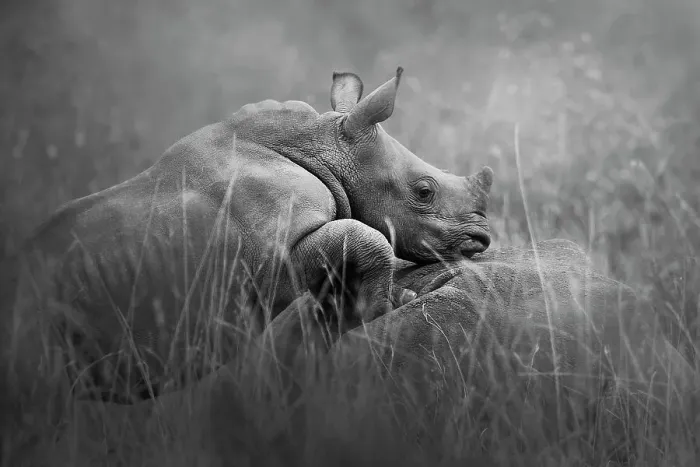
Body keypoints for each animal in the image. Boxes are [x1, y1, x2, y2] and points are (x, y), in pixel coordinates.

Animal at [1, 65, 494, 431]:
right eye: (424, 191)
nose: (481, 239)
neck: (327, 147)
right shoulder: (281, 255)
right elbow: (363, 234)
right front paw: (393, 301)